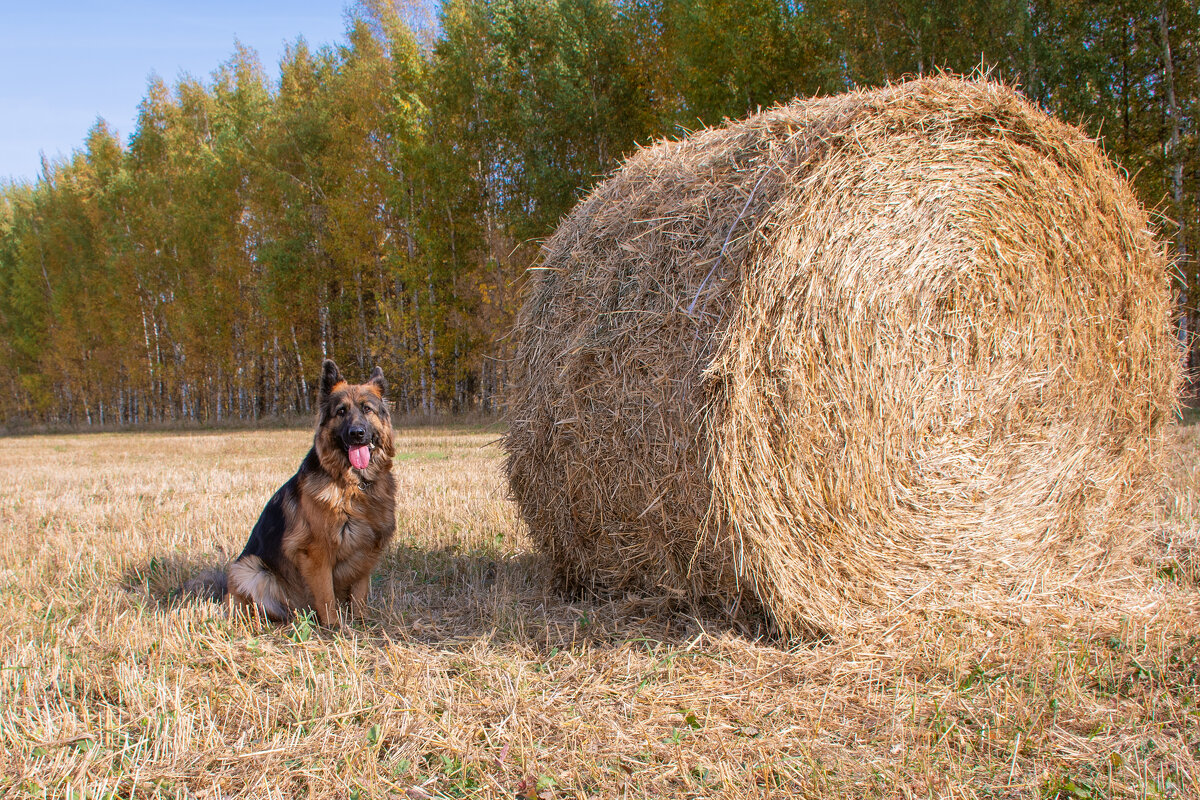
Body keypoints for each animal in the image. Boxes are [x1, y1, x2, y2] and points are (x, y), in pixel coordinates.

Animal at [223, 359, 396, 628]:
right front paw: (334, 626)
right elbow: (326, 595)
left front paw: (361, 621)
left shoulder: (365, 549)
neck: (354, 486)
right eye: (341, 412)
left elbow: (360, 593)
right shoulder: (316, 554)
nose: (357, 433)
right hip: (249, 569)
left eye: (367, 409)